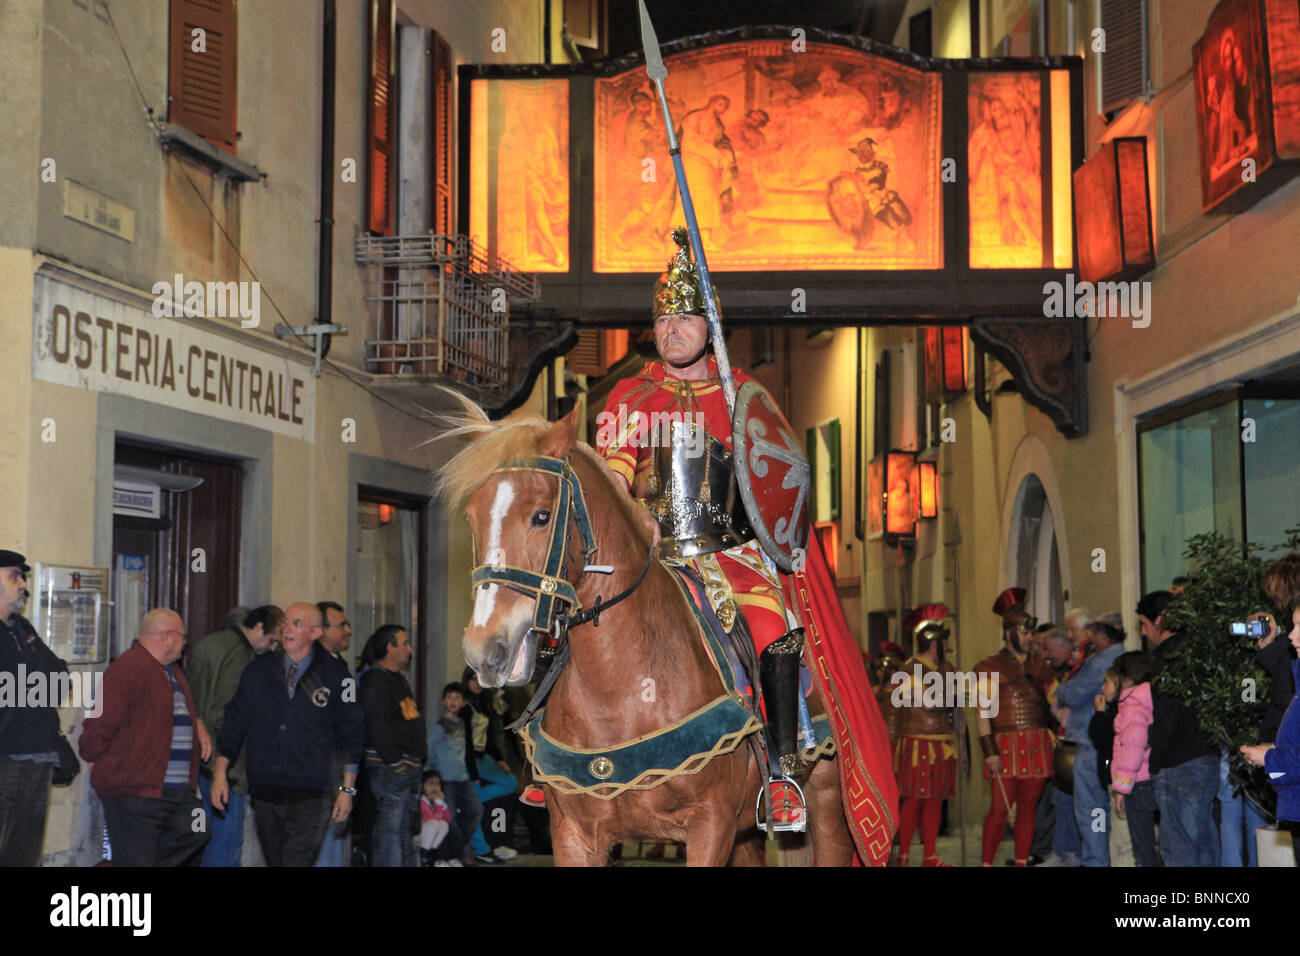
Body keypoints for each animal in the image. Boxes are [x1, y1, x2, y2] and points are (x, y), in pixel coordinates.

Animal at [439, 403, 863, 868]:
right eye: (472, 517)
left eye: (541, 516)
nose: (484, 649)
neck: (621, 690)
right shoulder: (573, 834)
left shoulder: (710, 823)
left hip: (827, 801)